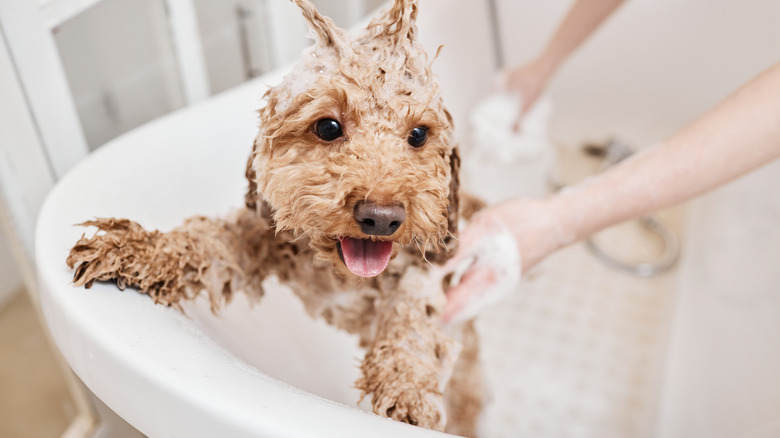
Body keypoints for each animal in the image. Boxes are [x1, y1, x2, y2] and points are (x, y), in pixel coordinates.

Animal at [70, 1, 488, 434]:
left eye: (419, 135)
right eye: (328, 126)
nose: (382, 217)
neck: (343, 277)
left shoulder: (424, 272)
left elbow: (411, 320)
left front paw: (407, 391)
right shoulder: (263, 232)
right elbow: (205, 243)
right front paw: (134, 249)